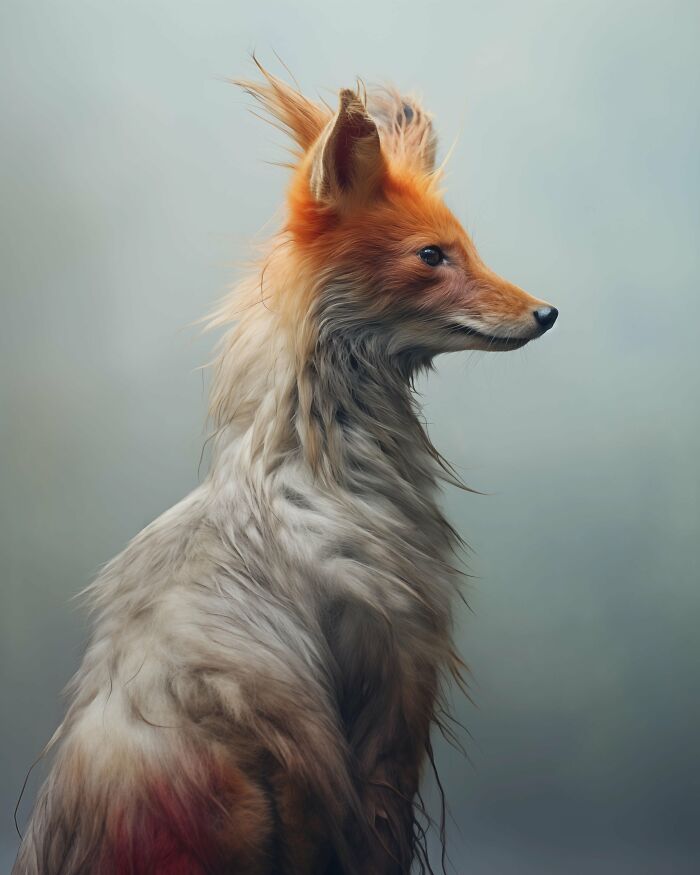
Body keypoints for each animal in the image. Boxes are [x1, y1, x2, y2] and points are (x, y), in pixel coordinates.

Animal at [13, 64, 558, 875]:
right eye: (433, 256)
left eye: (469, 247)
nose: (546, 313)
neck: (322, 470)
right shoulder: (390, 683)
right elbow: (375, 837)